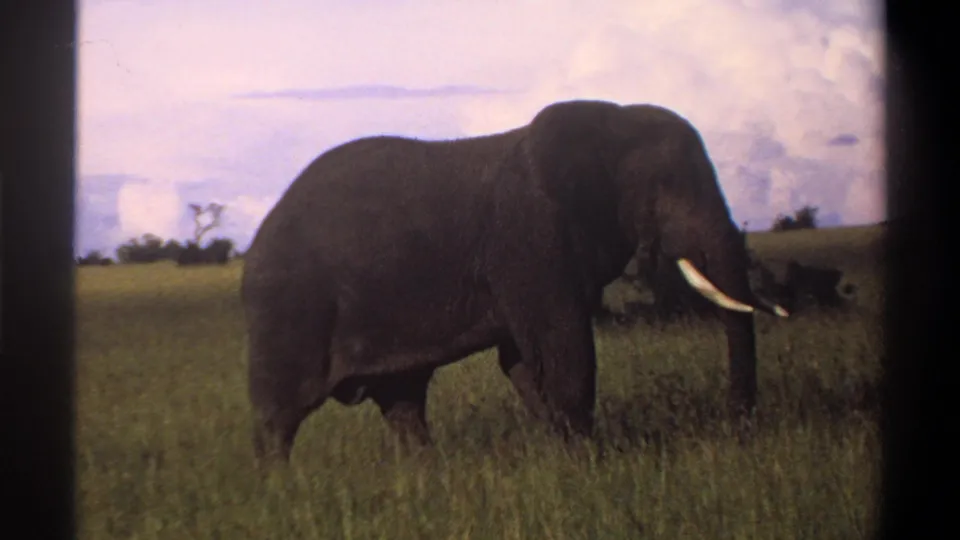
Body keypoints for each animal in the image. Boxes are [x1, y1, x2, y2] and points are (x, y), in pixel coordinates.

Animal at [241, 99, 789, 467]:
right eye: (666, 187)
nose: (739, 431)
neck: (609, 120)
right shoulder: (530, 239)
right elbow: (564, 349)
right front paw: (589, 465)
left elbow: (525, 361)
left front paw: (568, 455)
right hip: (286, 312)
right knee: (278, 418)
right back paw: (280, 493)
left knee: (403, 401)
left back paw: (427, 477)